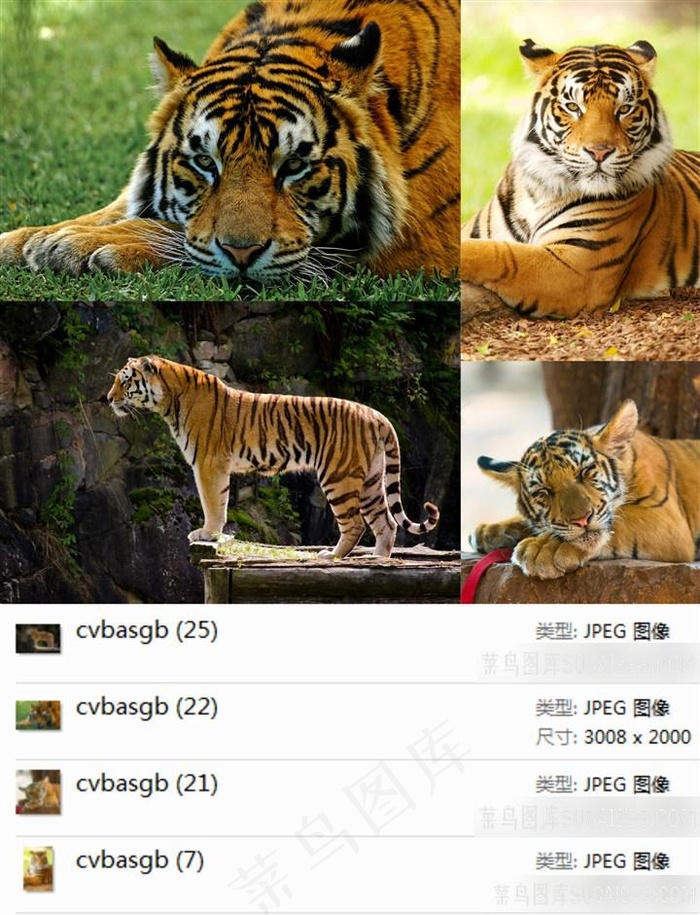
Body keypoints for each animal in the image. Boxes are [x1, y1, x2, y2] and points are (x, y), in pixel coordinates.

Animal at [0, 0, 459, 280]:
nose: (242, 255)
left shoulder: (425, 236)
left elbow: (173, 232)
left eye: (294, 166)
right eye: (205, 162)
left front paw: (88, 244)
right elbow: (112, 209)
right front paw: (30, 238)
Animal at [107, 355, 440, 558]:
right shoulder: (215, 466)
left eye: (125, 380)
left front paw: (207, 533)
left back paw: (332, 556)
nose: (109, 399)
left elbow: (212, 502)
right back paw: (378, 559)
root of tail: (376, 415)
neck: (170, 400)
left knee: (356, 523)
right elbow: (221, 501)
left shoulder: (208, 464)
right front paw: (213, 533)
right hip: (370, 479)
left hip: (339, 476)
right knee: (387, 523)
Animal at [461, 39, 700, 317]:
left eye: (624, 109)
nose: (600, 152)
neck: (539, 191)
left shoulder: (577, 265)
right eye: (573, 107)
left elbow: (500, 255)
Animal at [470, 400, 700, 579]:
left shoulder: (667, 519)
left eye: (585, 471)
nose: (581, 520)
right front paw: (488, 530)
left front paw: (544, 549)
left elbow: (618, 522)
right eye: (543, 492)